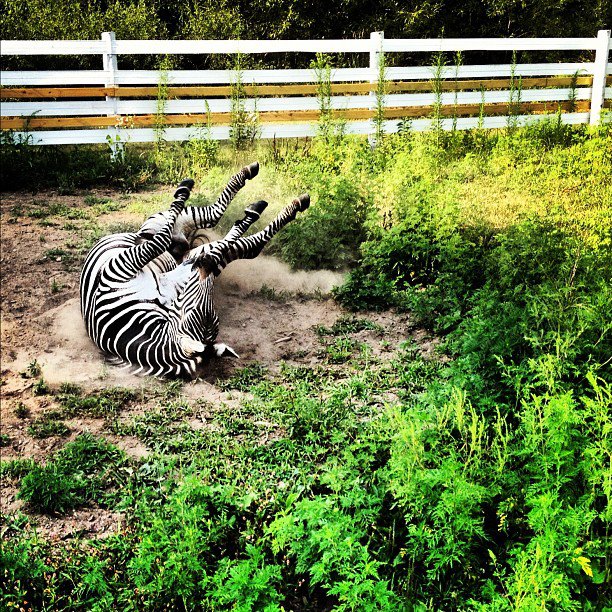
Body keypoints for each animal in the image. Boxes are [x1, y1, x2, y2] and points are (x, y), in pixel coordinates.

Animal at [80, 162, 310, 378]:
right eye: (190, 310)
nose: (203, 263)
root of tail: (179, 245)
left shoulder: (176, 280)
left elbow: (229, 248)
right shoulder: (123, 271)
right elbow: (169, 243)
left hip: (176, 241)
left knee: (213, 226)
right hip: (166, 231)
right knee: (203, 221)